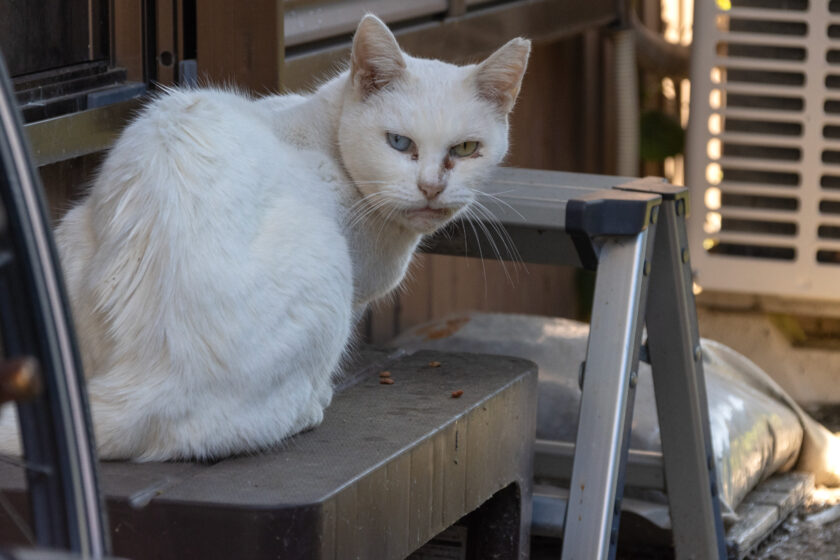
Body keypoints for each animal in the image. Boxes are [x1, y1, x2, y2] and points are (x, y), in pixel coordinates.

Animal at [0, 15, 528, 460]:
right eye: (399, 143)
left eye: (466, 149)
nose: (431, 187)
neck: (324, 139)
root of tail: (152, 375)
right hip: (326, 272)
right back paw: (310, 406)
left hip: (71, 235)